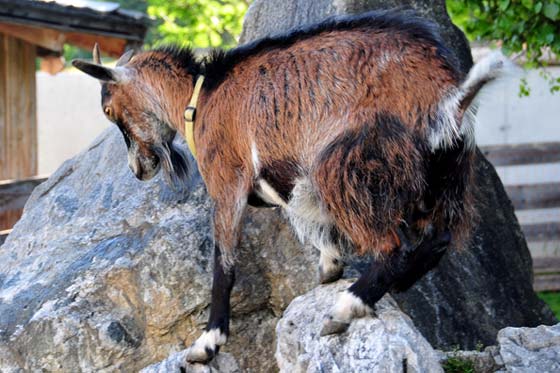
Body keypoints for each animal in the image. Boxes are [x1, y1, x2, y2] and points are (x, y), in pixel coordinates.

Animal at [72, 9, 510, 364]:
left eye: (109, 109)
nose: (138, 169)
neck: (201, 96)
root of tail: (448, 96)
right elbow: (316, 227)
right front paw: (330, 268)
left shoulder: (227, 182)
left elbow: (224, 265)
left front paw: (207, 343)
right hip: (445, 173)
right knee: (438, 238)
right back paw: (386, 286)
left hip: (350, 163)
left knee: (392, 246)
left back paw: (345, 308)